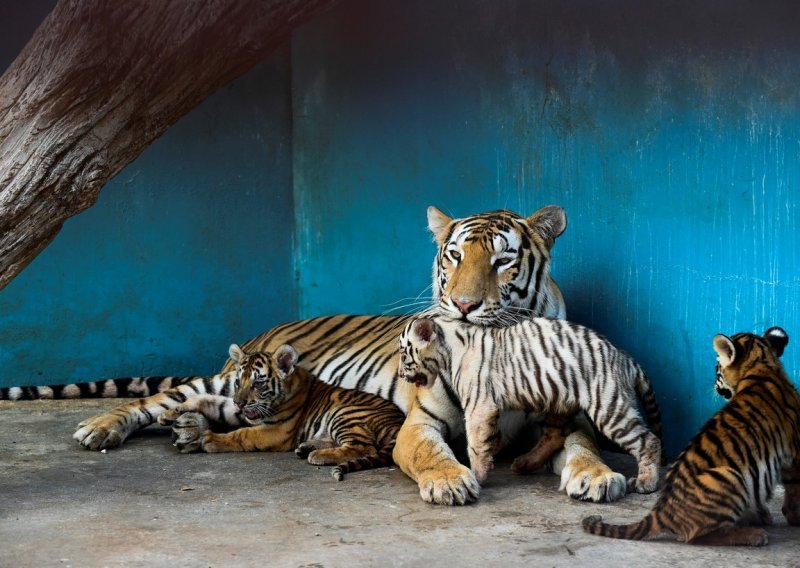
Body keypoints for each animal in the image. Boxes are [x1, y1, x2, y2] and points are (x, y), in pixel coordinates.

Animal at [157, 342, 406, 480]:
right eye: (237, 382)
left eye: (258, 383)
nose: (239, 402)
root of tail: (397, 424)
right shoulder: (242, 412)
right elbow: (207, 400)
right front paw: (168, 414)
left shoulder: (275, 430)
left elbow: (242, 435)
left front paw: (211, 439)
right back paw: (307, 447)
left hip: (346, 412)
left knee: (364, 447)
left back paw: (318, 455)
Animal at [396, 316, 664, 492]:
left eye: (403, 354)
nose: (400, 374)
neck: (450, 348)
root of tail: (625, 359)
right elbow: (488, 440)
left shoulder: (479, 405)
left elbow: (475, 444)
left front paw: (478, 475)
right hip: (560, 401)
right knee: (554, 435)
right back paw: (525, 462)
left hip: (609, 406)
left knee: (649, 441)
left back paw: (646, 483)